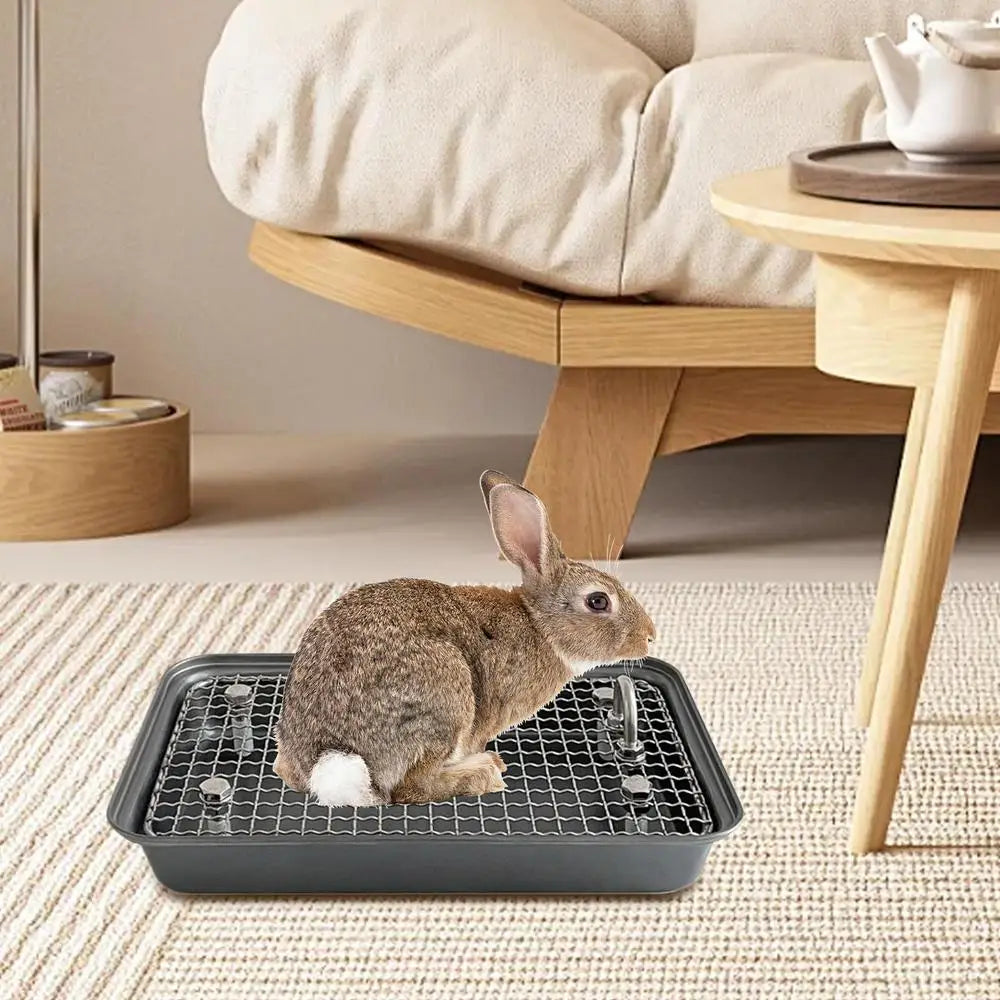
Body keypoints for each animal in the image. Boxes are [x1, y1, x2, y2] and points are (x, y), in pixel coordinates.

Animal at [273, 470, 656, 806]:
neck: (538, 625)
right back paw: (484, 772)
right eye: (598, 601)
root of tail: (329, 758)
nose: (650, 636)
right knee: (412, 788)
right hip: (446, 694)